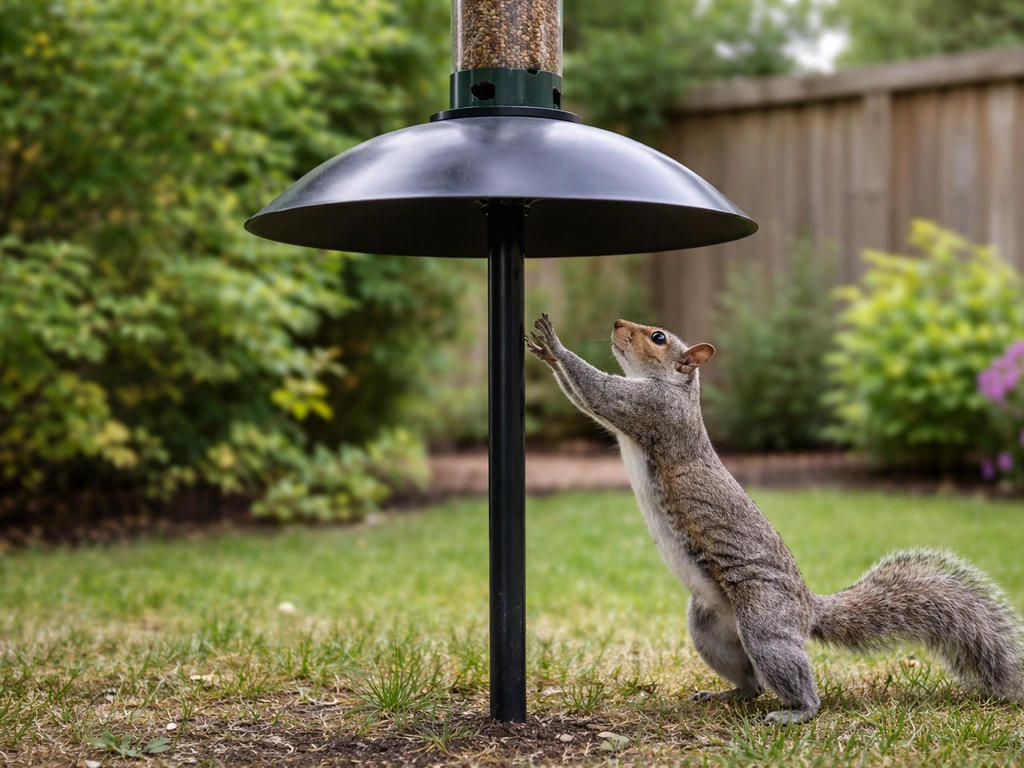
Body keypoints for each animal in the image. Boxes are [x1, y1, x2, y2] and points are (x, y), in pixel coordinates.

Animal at [525, 314, 1024, 724]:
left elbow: (595, 391)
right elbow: (583, 397)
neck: (674, 388)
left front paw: (555, 344)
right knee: (750, 683)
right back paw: (726, 695)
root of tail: (806, 610)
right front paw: (545, 352)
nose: (616, 324)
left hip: (765, 625)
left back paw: (797, 711)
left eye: (658, 337)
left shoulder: (649, 410)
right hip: (709, 629)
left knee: (787, 679)